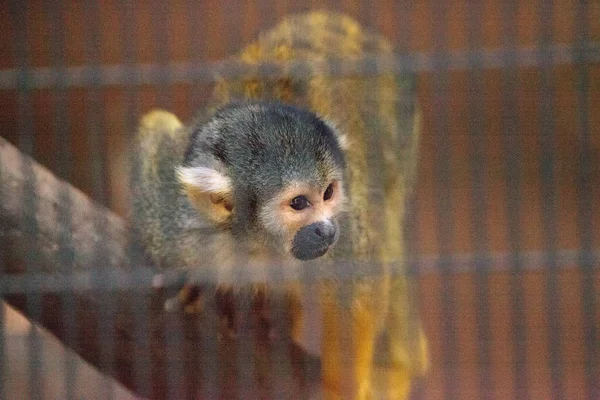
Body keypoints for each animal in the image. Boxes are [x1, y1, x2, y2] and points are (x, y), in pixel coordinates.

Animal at [134, 10, 428, 398]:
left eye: (329, 193)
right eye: (299, 203)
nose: (326, 230)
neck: (254, 243)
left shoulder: (347, 230)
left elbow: (362, 286)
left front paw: (342, 388)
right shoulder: (165, 208)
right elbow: (154, 131)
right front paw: (192, 281)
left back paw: (398, 365)